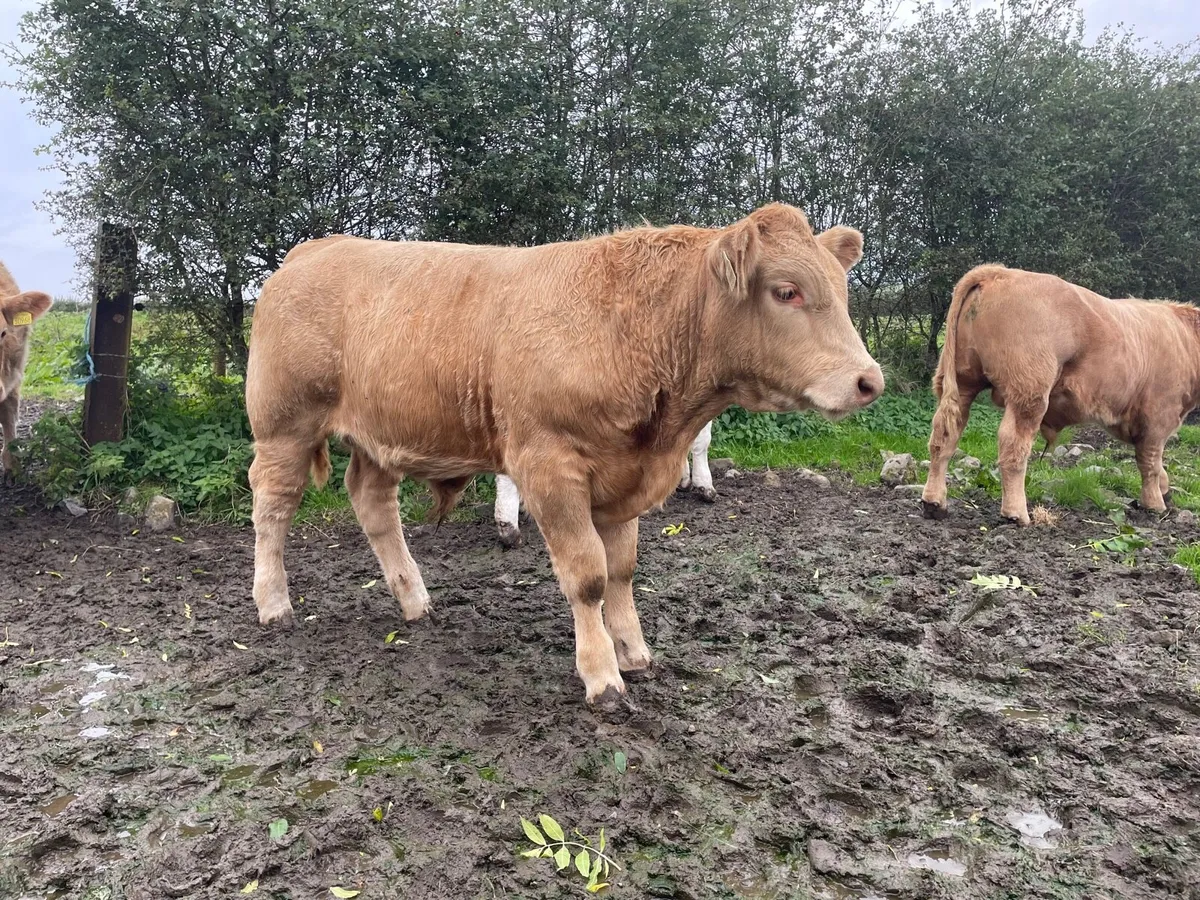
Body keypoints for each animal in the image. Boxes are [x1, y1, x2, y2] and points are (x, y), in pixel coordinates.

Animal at [922, 264, 1200, 525]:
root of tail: (999, 272)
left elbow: (1157, 466)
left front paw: (1164, 493)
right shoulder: (1158, 416)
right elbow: (1150, 462)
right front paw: (1155, 504)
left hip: (961, 382)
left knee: (944, 435)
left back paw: (934, 503)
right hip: (1029, 392)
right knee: (1013, 445)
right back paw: (1016, 513)